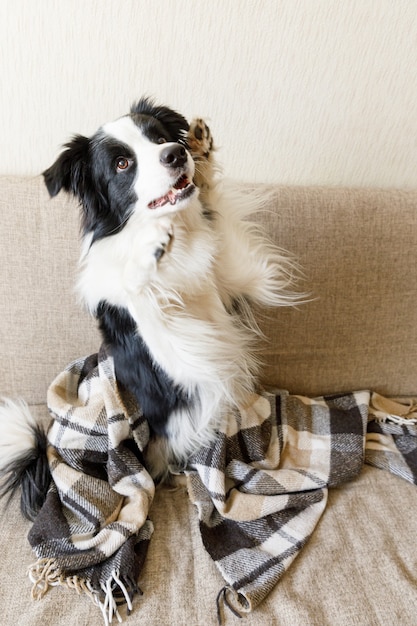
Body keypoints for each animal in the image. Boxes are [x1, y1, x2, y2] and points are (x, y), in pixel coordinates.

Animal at [0, 96, 300, 516]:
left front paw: (203, 158)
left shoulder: (235, 277)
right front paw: (147, 252)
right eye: (122, 164)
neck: (179, 244)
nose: (177, 153)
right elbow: (140, 297)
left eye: (159, 138)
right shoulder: (180, 357)